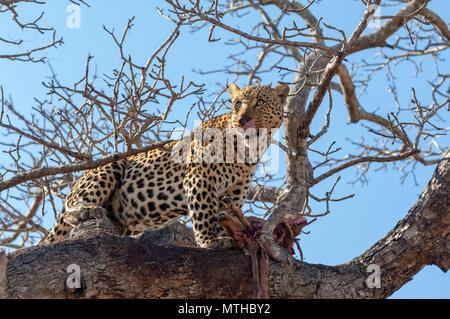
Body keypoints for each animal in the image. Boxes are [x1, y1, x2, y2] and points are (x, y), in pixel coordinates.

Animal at [44, 84, 290, 249]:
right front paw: (210, 240)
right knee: (69, 209)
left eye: (260, 102)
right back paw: (86, 210)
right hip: (108, 168)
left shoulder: (234, 196)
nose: (241, 120)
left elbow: (221, 214)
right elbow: (204, 213)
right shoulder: (199, 177)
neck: (251, 147)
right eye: (237, 103)